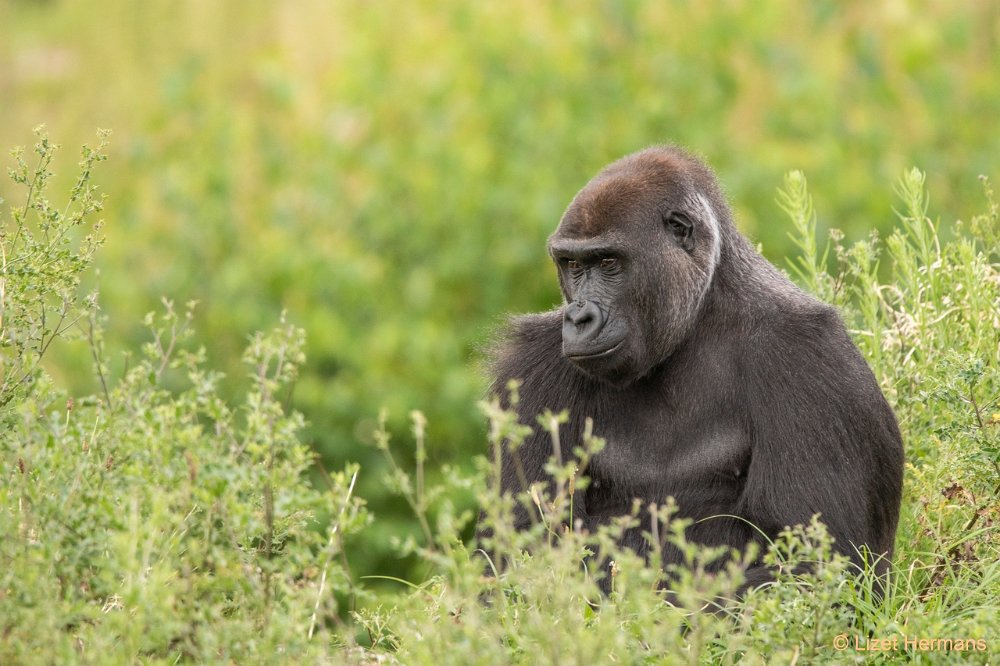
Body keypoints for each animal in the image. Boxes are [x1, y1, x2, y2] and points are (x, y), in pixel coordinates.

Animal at [484, 145, 908, 596]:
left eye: (608, 262)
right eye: (573, 265)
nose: (578, 318)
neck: (699, 317)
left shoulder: (812, 355)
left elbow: (820, 567)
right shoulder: (533, 365)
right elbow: (516, 557)